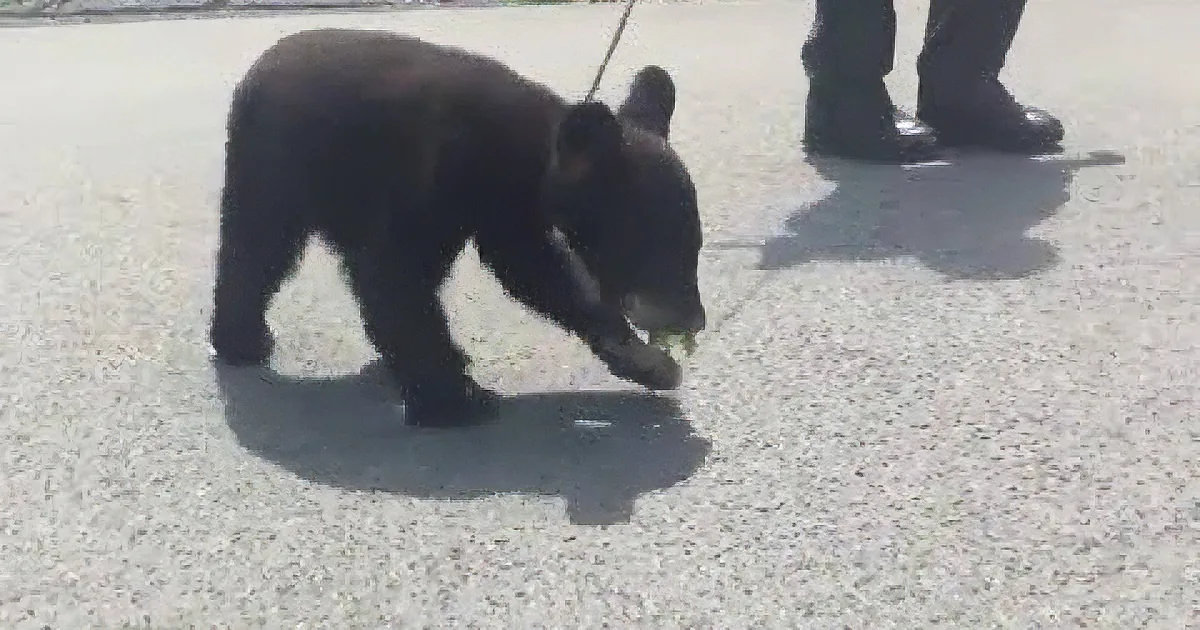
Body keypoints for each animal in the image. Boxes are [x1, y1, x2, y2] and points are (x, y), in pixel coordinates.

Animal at [208, 28, 706, 427]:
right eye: (658, 246)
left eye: (694, 245)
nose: (693, 320)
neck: (526, 151)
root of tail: (257, 65)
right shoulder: (437, 173)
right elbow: (393, 271)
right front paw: (456, 400)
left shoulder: (508, 211)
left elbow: (538, 271)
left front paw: (643, 358)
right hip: (274, 163)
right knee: (257, 248)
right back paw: (242, 341)